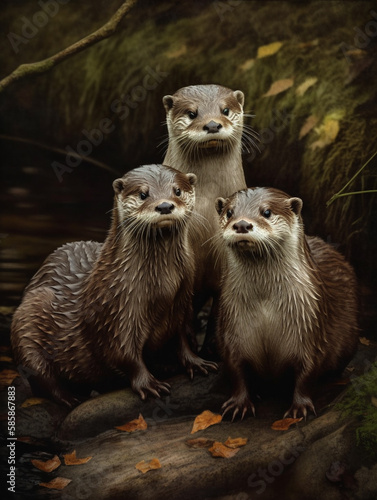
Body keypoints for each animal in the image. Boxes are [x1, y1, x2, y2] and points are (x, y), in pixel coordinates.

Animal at [10, 164, 216, 406]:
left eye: (177, 190)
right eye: (143, 194)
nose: (165, 205)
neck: (162, 290)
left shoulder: (183, 301)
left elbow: (182, 338)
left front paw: (197, 362)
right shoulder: (116, 310)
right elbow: (123, 353)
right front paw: (149, 383)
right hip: (26, 323)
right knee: (42, 378)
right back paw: (71, 398)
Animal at [214, 187, 358, 418]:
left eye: (266, 212)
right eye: (229, 212)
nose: (242, 224)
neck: (265, 303)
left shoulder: (310, 327)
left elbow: (307, 373)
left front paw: (300, 407)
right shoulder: (231, 327)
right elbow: (235, 370)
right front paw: (239, 403)